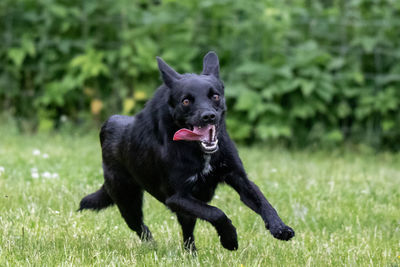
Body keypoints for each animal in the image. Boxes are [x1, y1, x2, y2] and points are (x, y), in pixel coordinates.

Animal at [79, 51, 296, 251]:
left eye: (215, 96)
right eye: (185, 101)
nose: (208, 116)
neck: (199, 151)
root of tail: (109, 125)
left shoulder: (238, 178)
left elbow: (263, 201)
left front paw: (280, 228)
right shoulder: (177, 198)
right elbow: (216, 212)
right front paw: (229, 239)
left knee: (187, 235)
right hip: (127, 201)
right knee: (142, 228)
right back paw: (155, 247)